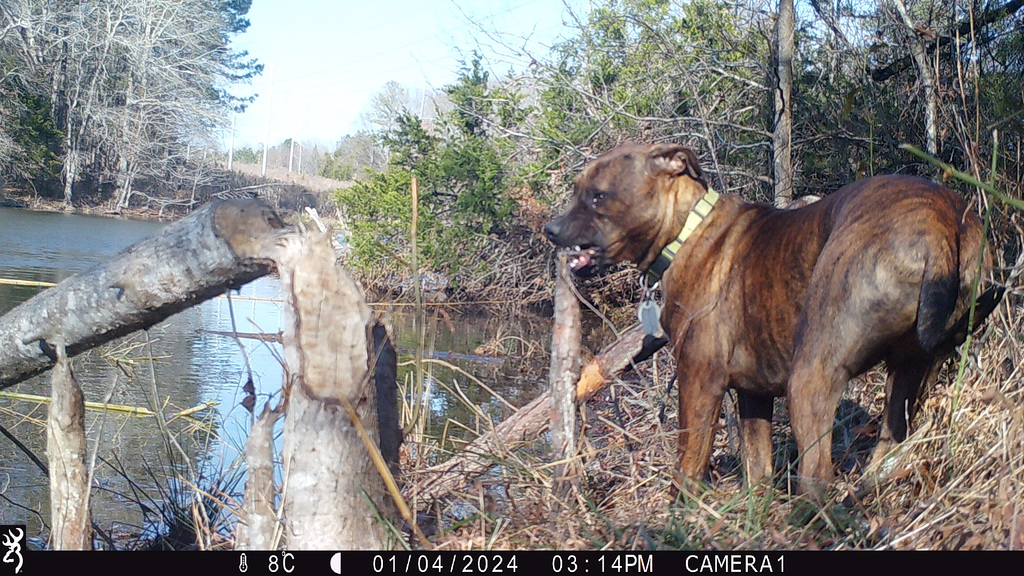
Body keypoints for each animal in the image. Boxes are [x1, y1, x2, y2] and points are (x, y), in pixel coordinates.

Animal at [548, 142, 1003, 498]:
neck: (687, 231)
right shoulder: (753, 393)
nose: (551, 230)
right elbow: (758, 465)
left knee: (817, 476)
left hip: (811, 375)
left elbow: (689, 463)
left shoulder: (699, 380)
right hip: (909, 375)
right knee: (888, 447)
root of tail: (942, 219)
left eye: (598, 197)